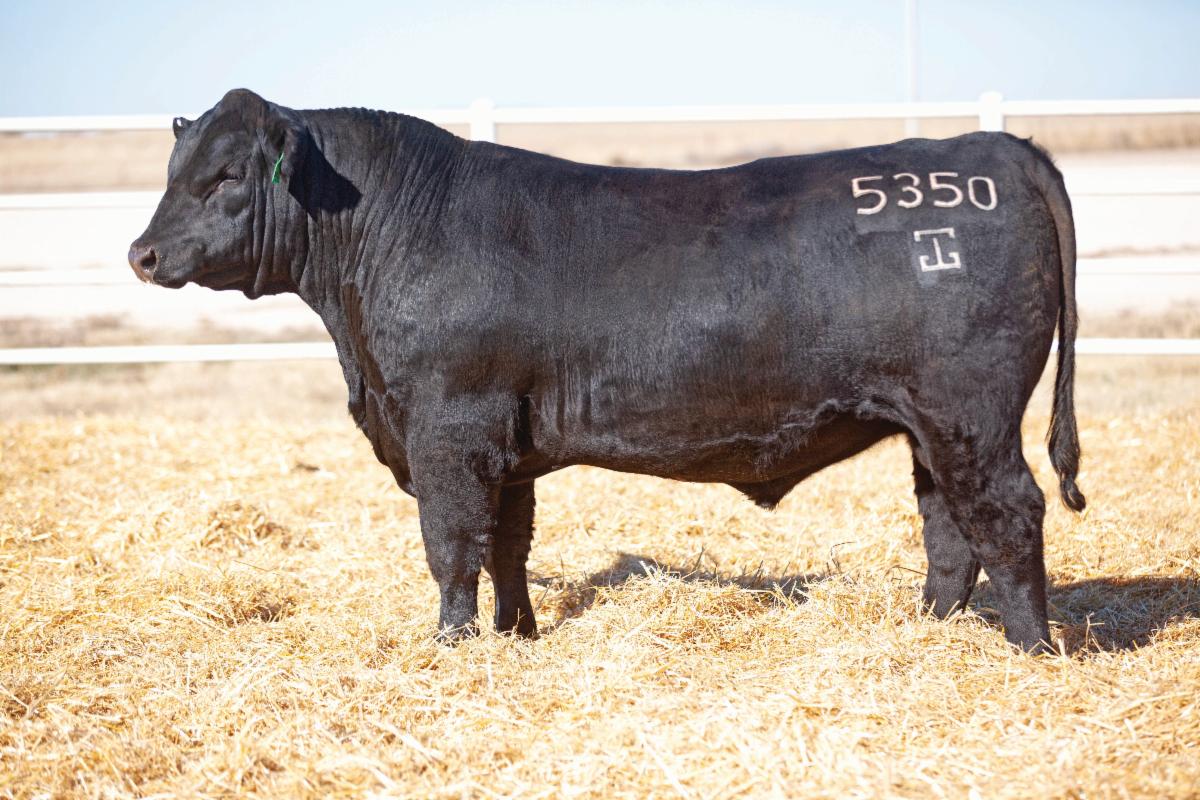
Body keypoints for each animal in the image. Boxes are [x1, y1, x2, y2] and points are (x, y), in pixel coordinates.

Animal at [129, 89, 1086, 652]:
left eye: (224, 176)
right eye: (175, 167)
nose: (142, 253)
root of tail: (995, 149)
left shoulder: (447, 428)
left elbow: (452, 545)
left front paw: (450, 647)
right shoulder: (503, 442)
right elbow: (508, 544)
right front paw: (516, 636)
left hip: (972, 413)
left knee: (1008, 513)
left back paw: (1031, 648)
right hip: (931, 426)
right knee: (949, 529)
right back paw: (928, 632)